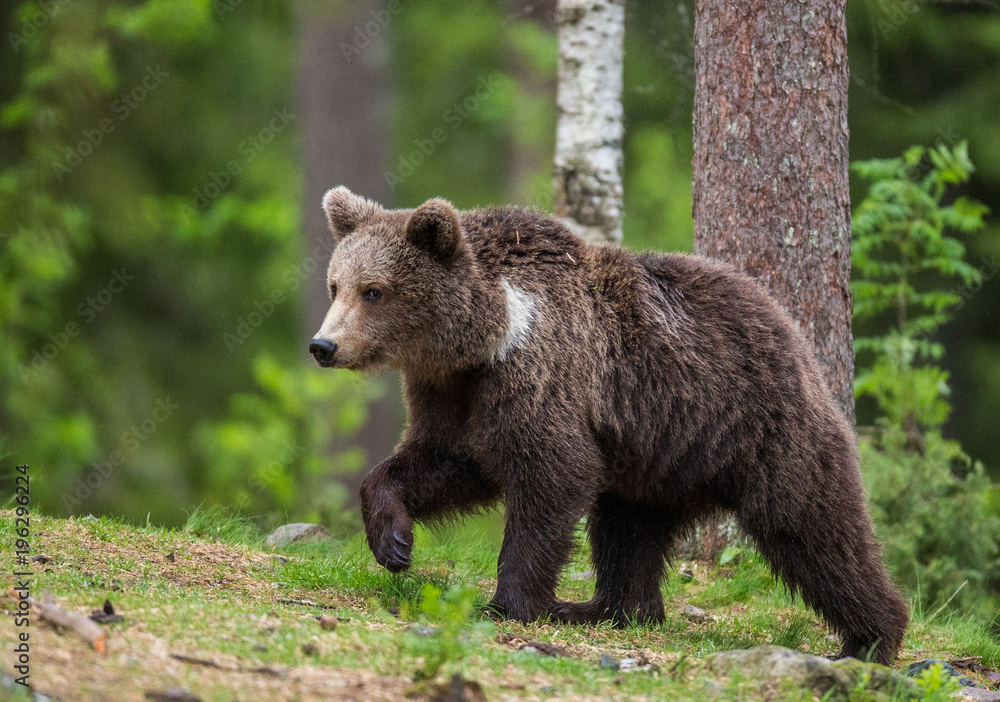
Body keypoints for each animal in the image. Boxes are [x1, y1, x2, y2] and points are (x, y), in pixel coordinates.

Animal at [308, 186, 912, 664]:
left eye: (374, 290)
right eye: (336, 285)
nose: (323, 345)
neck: (489, 336)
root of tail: (790, 327)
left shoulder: (542, 372)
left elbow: (552, 475)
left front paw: (509, 602)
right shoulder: (452, 391)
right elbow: (442, 461)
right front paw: (393, 541)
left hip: (760, 428)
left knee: (812, 525)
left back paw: (871, 637)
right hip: (655, 457)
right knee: (627, 529)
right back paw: (608, 608)